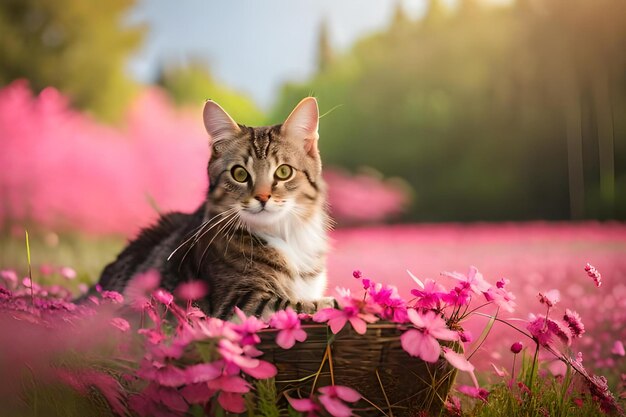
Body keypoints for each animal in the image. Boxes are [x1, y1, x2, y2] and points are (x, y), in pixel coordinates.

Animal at [95, 97, 332, 318]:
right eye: (240, 174)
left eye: (284, 172)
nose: (263, 197)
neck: (285, 234)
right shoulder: (239, 302)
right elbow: (297, 304)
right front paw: (331, 303)